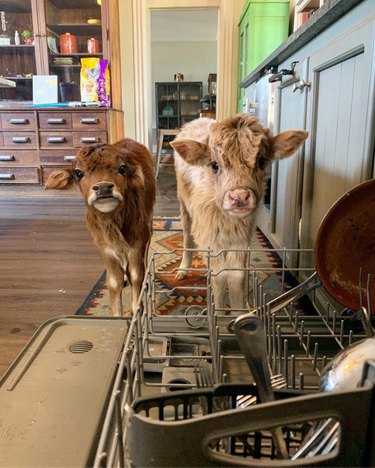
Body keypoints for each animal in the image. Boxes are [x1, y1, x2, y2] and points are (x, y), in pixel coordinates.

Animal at [46, 137, 157, 316]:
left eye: (122, 168)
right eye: (78, 173)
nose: (104, 187)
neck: (112, 224)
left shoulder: (136, 243)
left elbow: (136, 275)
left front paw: (136, 309)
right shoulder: (106, 248)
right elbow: (113, 281)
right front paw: (117, 314)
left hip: (148, 225)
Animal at [172, 113, 310, 310]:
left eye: (262, 161)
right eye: (214, 165)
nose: (239, 197)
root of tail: (199, 120)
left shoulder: (240, 241)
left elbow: (237, 280)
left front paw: (240, 311)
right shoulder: (210, 238)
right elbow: (220, 281)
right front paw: (219, 312)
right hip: (183, 204)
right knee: (186, 235)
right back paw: (183, 268)